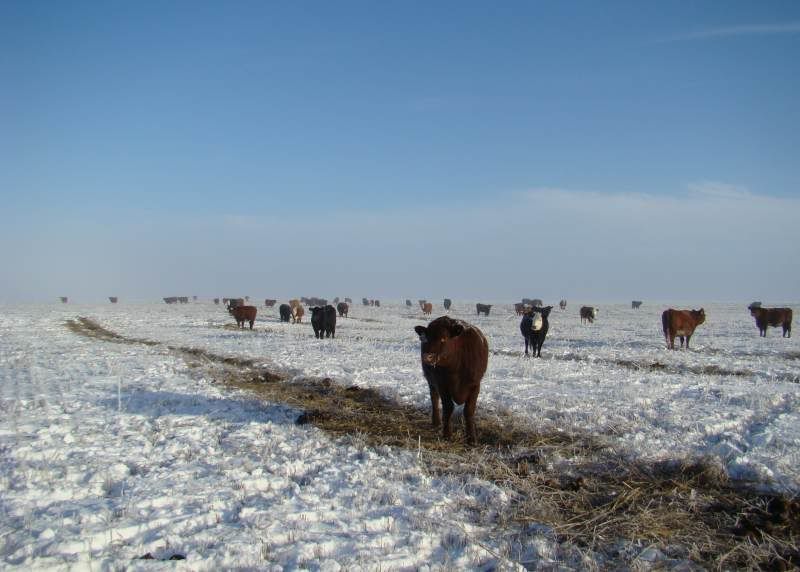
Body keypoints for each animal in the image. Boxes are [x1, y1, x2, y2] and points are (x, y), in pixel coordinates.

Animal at [414, 316, 489, 445]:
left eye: (443, 338)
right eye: (427, 338)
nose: (427, 356)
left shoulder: (475, 385)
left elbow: (469, 410)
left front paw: (471, 438)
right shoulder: (442, 385)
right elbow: (448, 408)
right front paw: (447, 434)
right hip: (431, 381)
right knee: (434, 398)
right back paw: (436, 422)